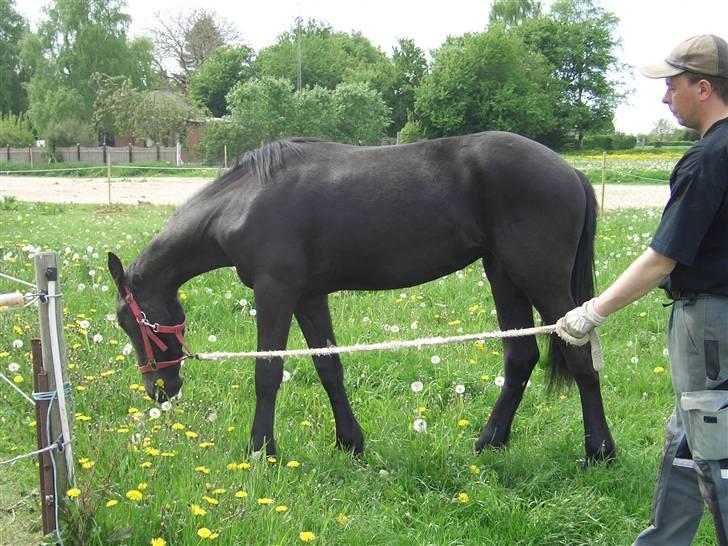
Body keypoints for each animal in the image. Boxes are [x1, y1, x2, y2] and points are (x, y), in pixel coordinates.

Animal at [108, 131, 616, 460]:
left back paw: (600, 451)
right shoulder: (309, 298)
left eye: (128, 321)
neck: (245, 200)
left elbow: (267, 372)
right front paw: (350, 442)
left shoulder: (276, 293)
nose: (158, 390)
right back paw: (490, 441)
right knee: (520, 357)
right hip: (503, 275)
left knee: (579, 357)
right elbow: (329, 368)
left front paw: (260, 450)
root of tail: (571, 171)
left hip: (540, 278)